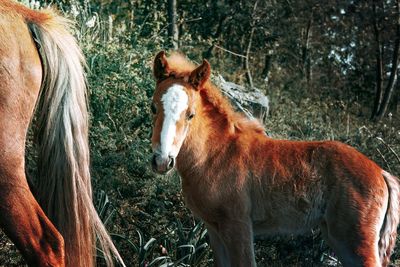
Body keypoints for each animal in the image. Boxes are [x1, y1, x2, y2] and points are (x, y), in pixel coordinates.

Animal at [150, 51, 400, 266]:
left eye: (190, 114)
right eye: (153, 108)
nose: (162, 161)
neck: (215, 155)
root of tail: (381, 173)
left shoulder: (238, 226)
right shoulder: (214, 229)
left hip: (356, 242)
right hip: (338, 239)